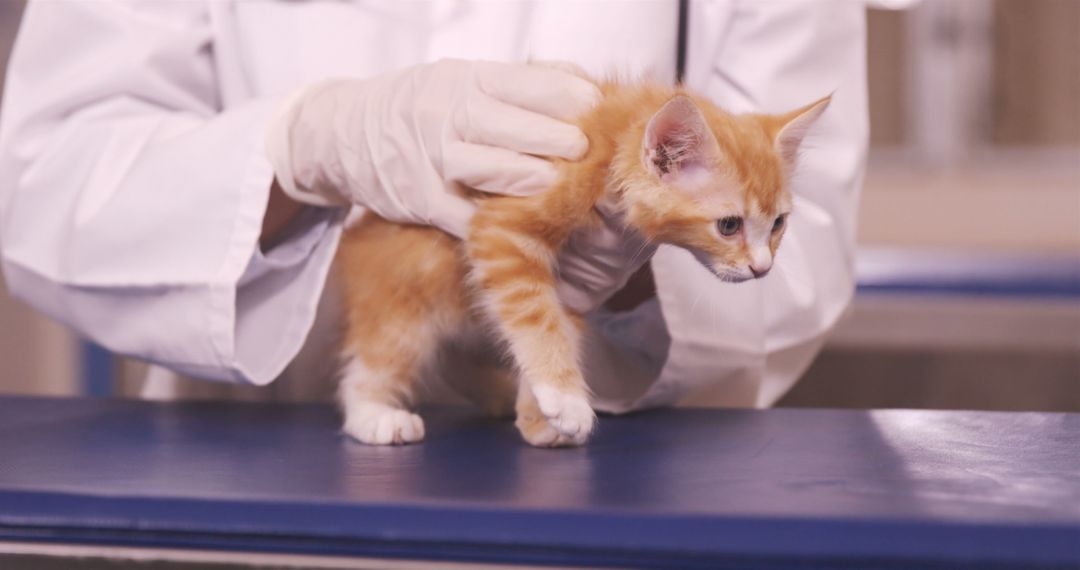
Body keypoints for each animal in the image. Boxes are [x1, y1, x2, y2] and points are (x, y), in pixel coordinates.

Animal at [334, 81, 825, 444]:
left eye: (778, 223)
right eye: (728, 225)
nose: (762, 268)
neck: (610, 149)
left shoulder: (572, 281)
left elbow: (558, 326)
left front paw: (539, 412)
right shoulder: (504, 231)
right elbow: (536, 318)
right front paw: (565, 398)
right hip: (405, 296)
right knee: (380, 357)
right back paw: (374, 415)